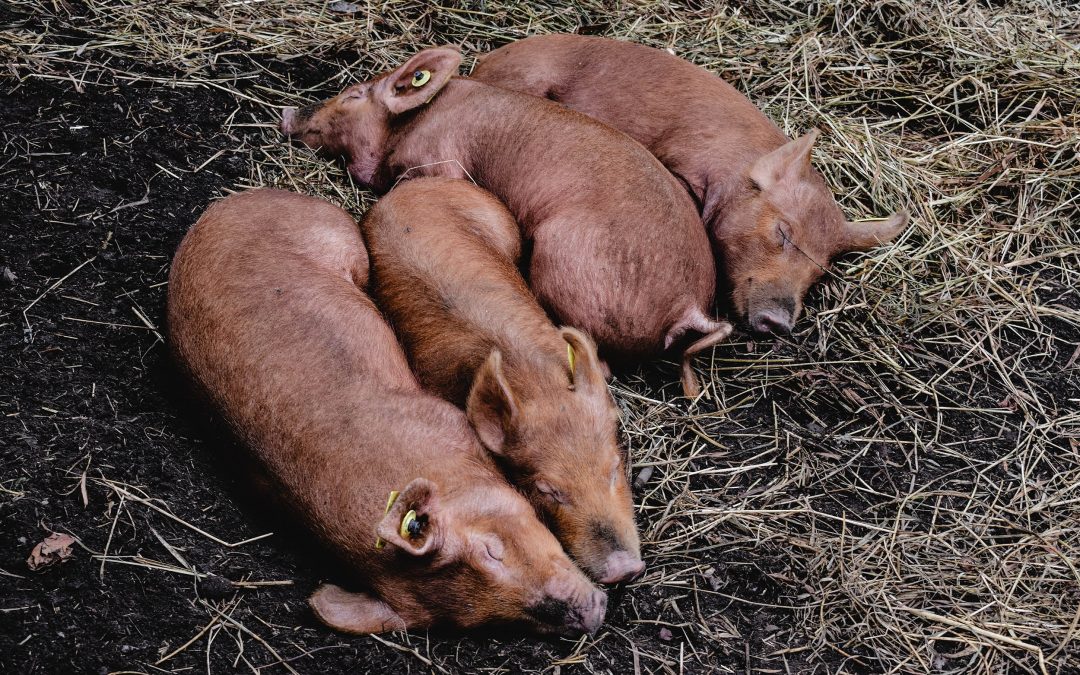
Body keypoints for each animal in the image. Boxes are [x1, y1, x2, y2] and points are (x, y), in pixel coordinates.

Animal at [168, 187, 609, 630]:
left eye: (491, 550)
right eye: (483, 621)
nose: (591, 615)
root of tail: (224, 206)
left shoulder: (446, 419)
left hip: (341, 238)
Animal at [280, 47, 734, 397]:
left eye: (353, 95)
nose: (286, 112)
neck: (406, 127)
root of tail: (689, 304)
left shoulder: (440, 160)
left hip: (566, 260)